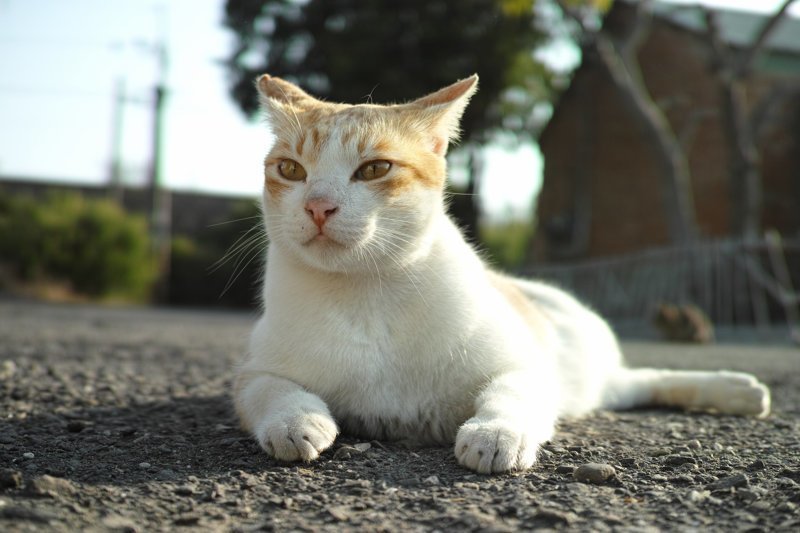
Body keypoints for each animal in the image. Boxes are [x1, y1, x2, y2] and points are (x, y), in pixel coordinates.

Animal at [234, 72, 772, 472]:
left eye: (374, 170)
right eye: (290, 170)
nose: (318, 207)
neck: (366, 293)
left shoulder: (525, 366)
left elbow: (509, 391)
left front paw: (495, 433)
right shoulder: (252, 374)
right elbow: (269, 390)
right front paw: (296, 421)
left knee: (645, 377)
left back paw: (737, 390)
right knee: (638, 384)